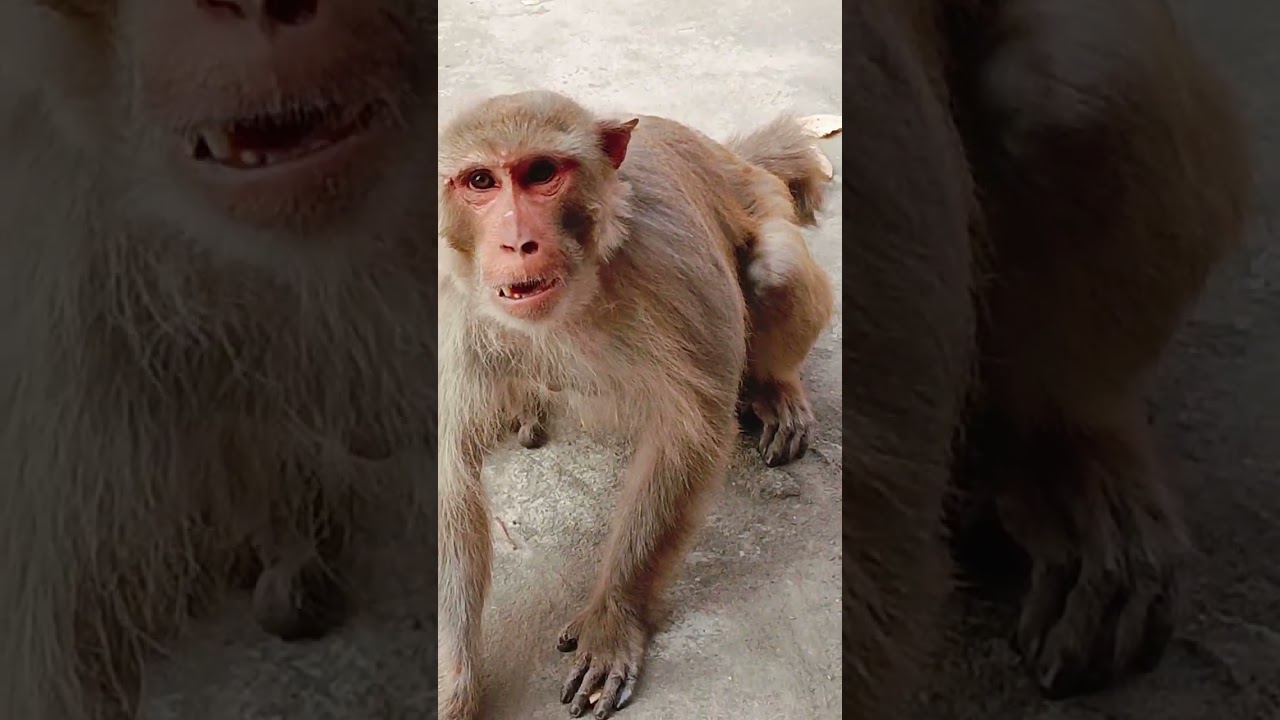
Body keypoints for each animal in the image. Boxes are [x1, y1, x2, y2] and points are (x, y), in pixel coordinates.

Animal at [436, 91, 836, 719]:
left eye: (541, 173)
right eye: (481, 181)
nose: (516, 242)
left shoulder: (672, 262)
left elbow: (690, 430)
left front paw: (613, 620)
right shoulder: (451, 307)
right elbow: (450, 482)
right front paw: (453, 685)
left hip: (763, 203)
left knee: (777, 265)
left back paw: (776, 389)